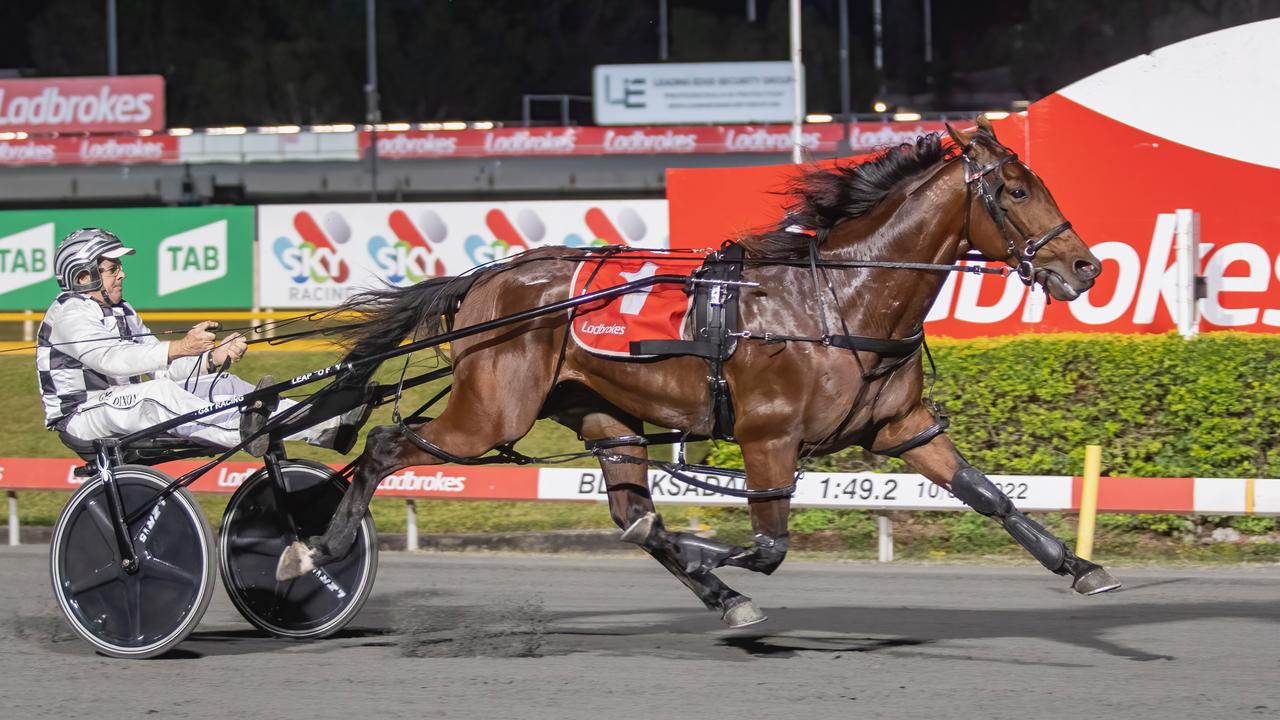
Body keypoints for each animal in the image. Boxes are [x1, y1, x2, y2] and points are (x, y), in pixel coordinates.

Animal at [277, 116, 1121, 622]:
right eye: (1017, 189)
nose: (1087, 267)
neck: (836, 298)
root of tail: (487, 278)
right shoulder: (767, 438)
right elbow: (770, 546)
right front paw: (713, 549)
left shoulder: (901, 428)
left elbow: (989, 496)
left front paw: (1079, 565)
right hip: (491, 412)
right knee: (385, 447)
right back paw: (314, 550)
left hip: (601, 413)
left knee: (631, 514)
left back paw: (719, 595)